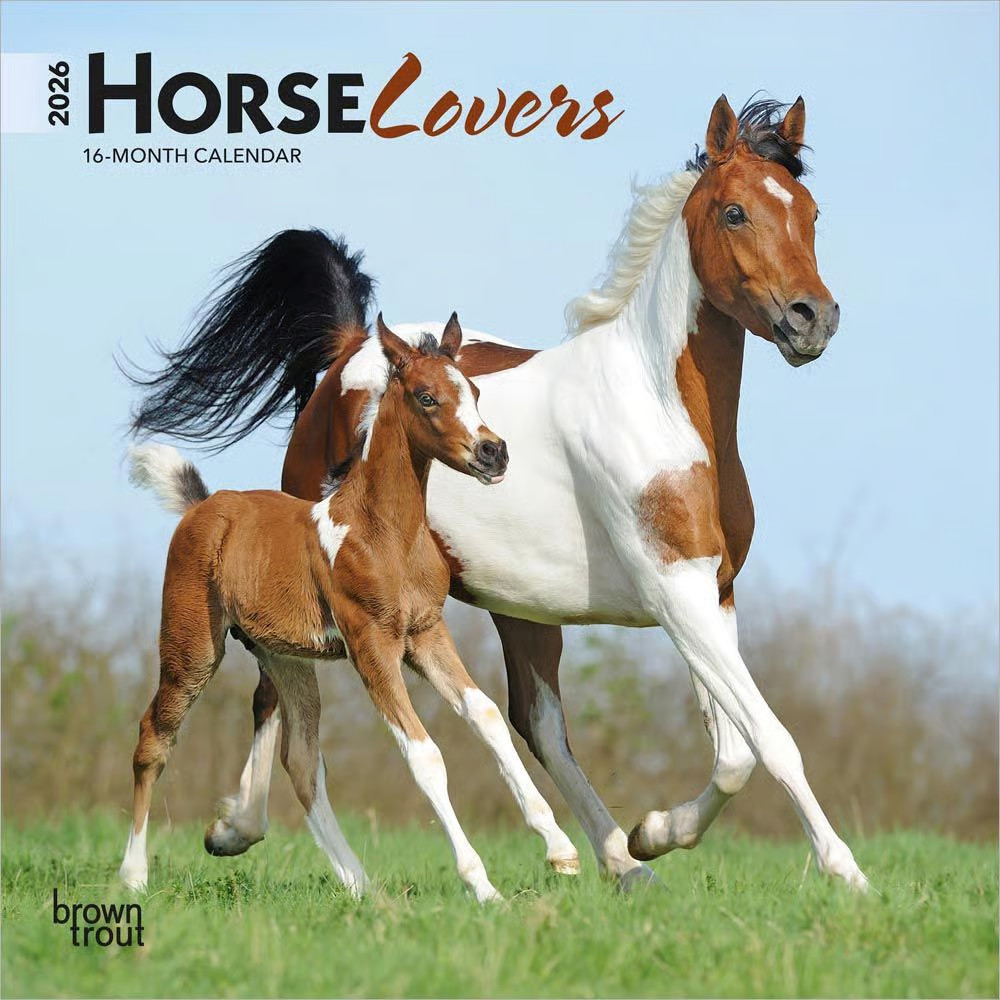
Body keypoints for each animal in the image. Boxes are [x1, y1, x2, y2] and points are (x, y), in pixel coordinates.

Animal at [120, 315, 578, 901]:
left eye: (474, 392)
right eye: (426, 397)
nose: (492, 453)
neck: (383, 532)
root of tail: (203, 506)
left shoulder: (425, 634)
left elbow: (487, 715)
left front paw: (561, 849)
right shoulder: (371, 644)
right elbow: (424, 754)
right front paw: (483, 887)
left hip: (286, 658)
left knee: (301, 761)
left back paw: (362, 886)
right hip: (193, 644)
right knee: (154, 737)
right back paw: (133, 876)